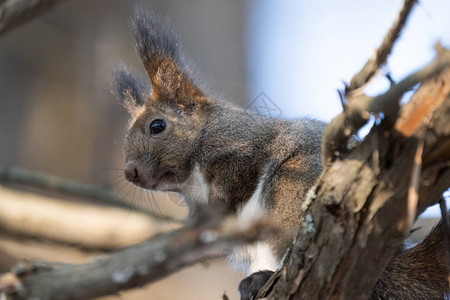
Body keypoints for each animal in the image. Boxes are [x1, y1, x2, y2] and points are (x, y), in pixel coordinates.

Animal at [110, 9, 448, 300]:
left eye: (157, 126)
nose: (130, 172)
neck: (191, 180)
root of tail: (387, 268)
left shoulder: (242, 147)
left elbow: (238, 178)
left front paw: (219, 208)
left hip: (288, 196)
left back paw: (261, 278)